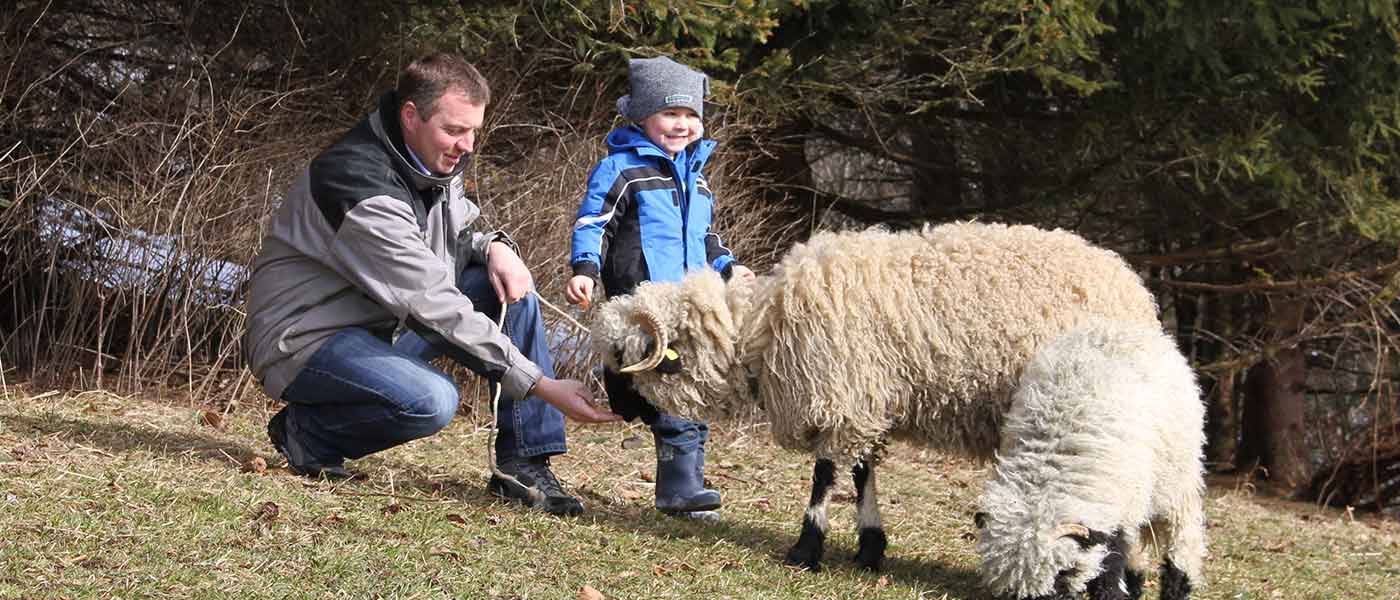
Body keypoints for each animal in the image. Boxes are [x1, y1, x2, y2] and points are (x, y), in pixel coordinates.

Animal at [588, 222, 1159, 573]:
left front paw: (807, 546)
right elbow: (863, 472)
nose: (613, 408)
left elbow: (824, 476)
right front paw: (869, 547)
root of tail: (1133, 288)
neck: (761, 332)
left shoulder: (844, 392)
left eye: (620, 354)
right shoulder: (867, 400)